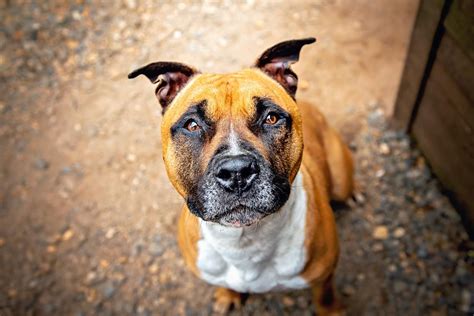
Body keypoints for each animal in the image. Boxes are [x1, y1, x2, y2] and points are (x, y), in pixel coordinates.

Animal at [128, 37, 354, 314]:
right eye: (192, 125)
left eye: (271, 118)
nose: (237, 172)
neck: (243, 242)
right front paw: (228, 295)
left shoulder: (324, 277)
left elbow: (325, 298)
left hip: (341, 180)